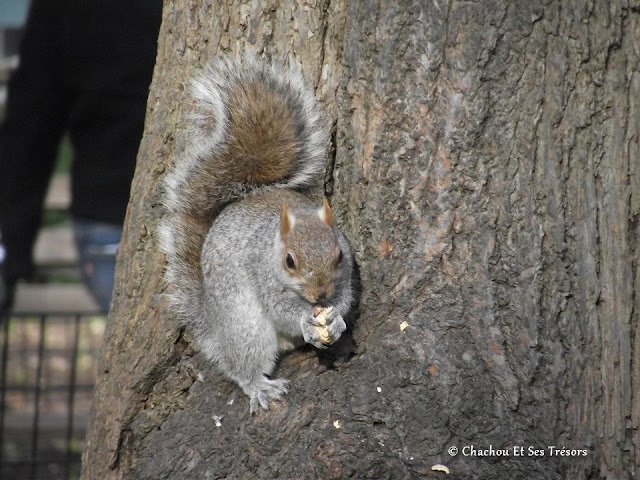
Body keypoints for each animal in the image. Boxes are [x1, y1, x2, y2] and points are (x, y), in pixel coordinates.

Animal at [157, 57, 352, 412]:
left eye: (339, 255)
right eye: (289, 261)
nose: (320, 296)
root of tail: (215, 327)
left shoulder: (344, 278)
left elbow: (344, 299)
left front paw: (336, 322)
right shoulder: (263, 276)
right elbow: (281, 310)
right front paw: (306, 321)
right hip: (246, 325)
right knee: (243, 367)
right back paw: (259, 386)